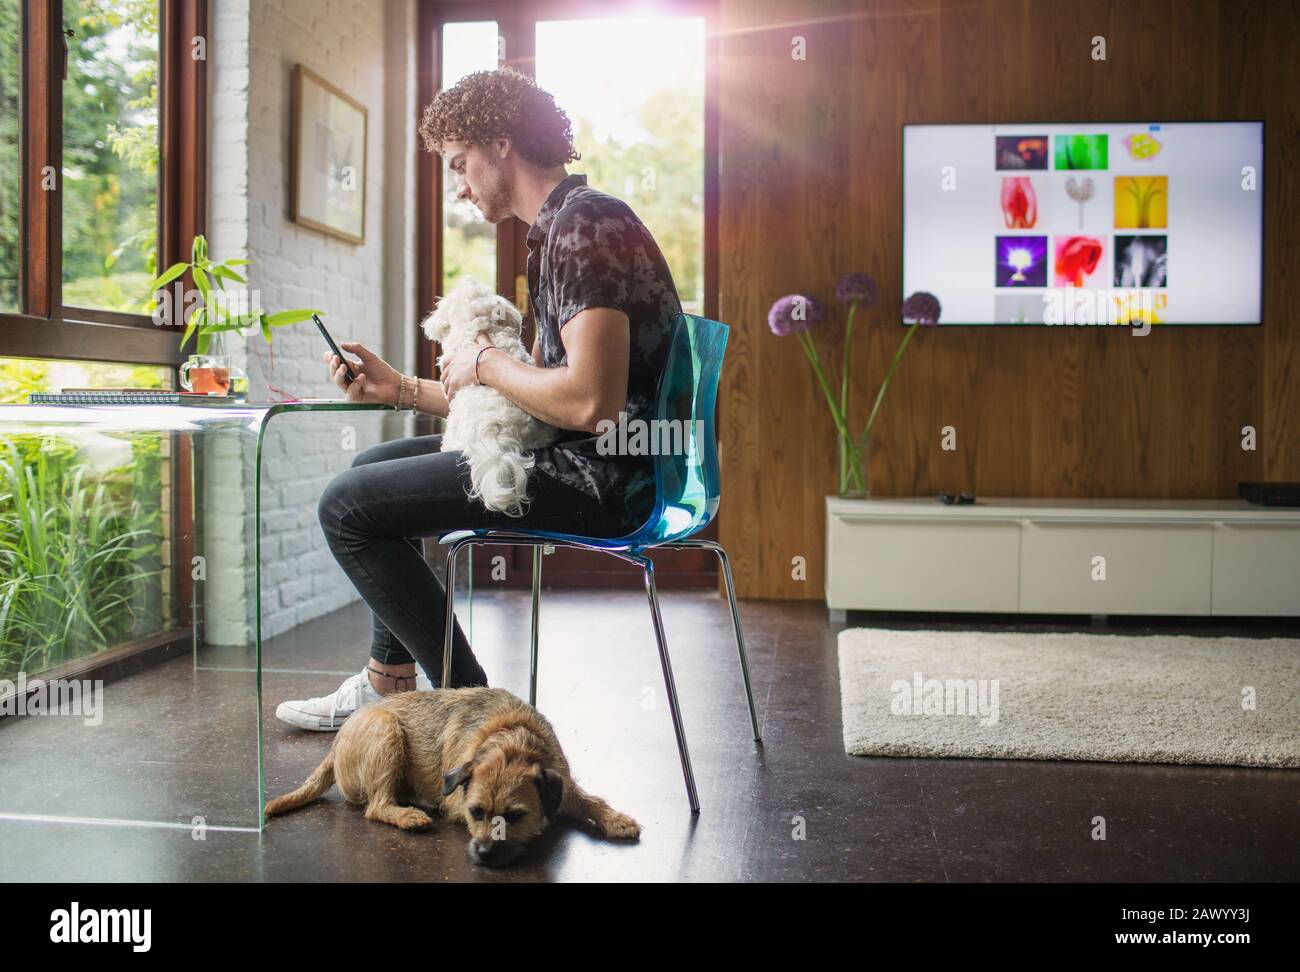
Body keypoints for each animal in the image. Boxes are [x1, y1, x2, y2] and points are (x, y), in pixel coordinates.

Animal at [262, 680, 639, 868]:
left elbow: (589, 799)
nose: (484, 854)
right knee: (376, 806)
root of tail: (337, 744)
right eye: (476, 813)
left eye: (516, 816)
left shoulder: (561, 778)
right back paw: (408, 814)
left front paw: (616, 818)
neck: (511, 739)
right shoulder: (458, 802)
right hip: (386, 730)